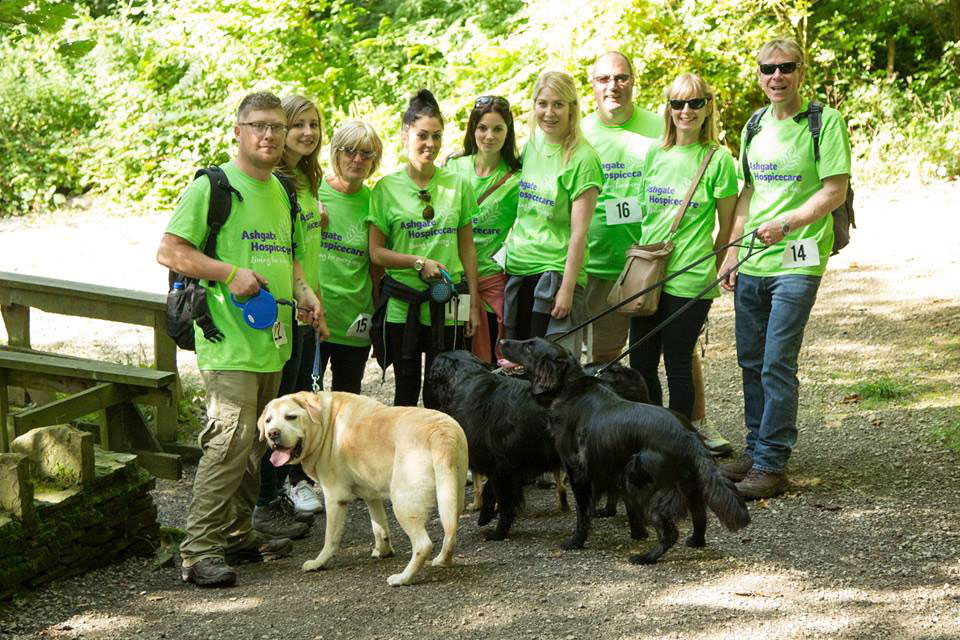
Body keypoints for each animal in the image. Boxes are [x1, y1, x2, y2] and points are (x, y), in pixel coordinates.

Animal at [258, 390, 468, 584]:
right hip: (452, 497)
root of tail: (439, 432)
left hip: (404, 503)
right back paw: (442, 560)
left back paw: (403, 578)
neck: (325, 422)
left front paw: (319, 563)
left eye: (291, 417)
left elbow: (330, 538)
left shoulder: (334, 498)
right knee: (451, 532)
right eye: (268, 420)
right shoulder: (371, 495)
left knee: (423, 545)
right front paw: (383, 551)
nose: (272, 433)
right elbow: (379, 527)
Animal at [498, 338, 752, 564]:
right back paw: (694, 542)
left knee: (670, 532)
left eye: (529, 345)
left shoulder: (578, 472)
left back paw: (646, 558)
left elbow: (582, 512)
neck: (569, 389)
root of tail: (689, 436)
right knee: (700, 518)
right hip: (690, 487)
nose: (501, 341)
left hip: (643, 483)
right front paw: (636, 533)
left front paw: (576, 542)